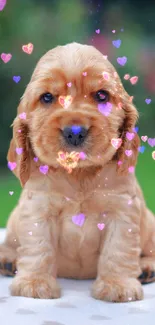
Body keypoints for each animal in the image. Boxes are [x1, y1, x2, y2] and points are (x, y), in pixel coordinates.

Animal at [0, 43, 154, 302]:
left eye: (102, 95)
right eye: (47, 97)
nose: (74, 131)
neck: (79, 174)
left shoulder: (122, 209)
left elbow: (118, 249)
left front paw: (117, 285)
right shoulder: (38, 208)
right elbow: (38, 246)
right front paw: (34, 283)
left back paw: (146, 268)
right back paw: (8, 260)